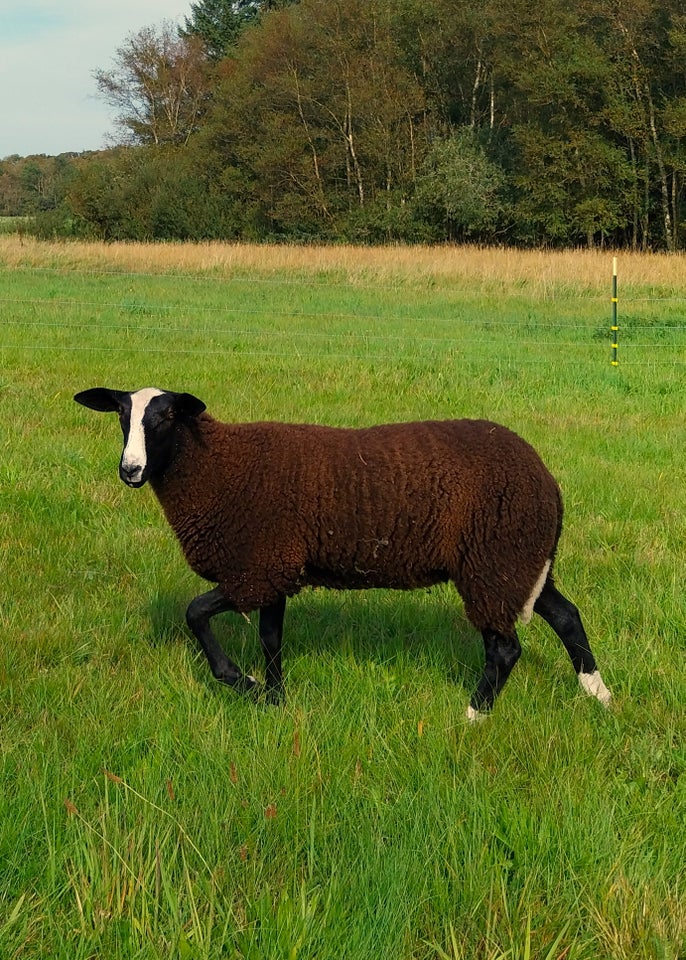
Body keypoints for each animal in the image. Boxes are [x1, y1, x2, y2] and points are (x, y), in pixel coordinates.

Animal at [74, 386, 612, 716]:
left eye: (166, 416)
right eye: (121, 415)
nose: (130, 470)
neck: (217, 468)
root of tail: (548, 481)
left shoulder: (256, 568)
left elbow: (195, 613)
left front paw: (243, 682)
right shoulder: (277, 567)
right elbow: (271, 638)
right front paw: (275, 701)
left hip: (494, 561)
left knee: (504, 649)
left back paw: (471, 716)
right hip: (521, 563)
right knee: (566, 617)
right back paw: (600, 695)